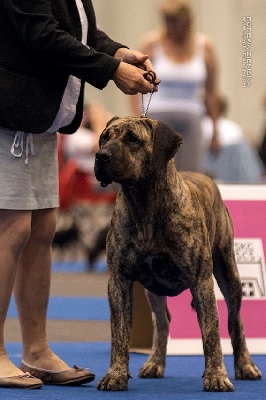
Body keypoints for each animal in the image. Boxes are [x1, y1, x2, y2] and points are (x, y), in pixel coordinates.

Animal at [94, 115, 262, 390]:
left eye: (132, 139)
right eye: (104, 137)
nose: (101, 156)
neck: (145, 203)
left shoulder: (201, 281)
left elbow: (212, 335)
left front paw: (216, 375)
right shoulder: (119, 281)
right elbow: (119, 334)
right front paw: (115, 374)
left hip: (229, 273)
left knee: (235, 321)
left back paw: (245, 365)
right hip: (152, 291)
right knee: (162, 323)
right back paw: (155, 362)